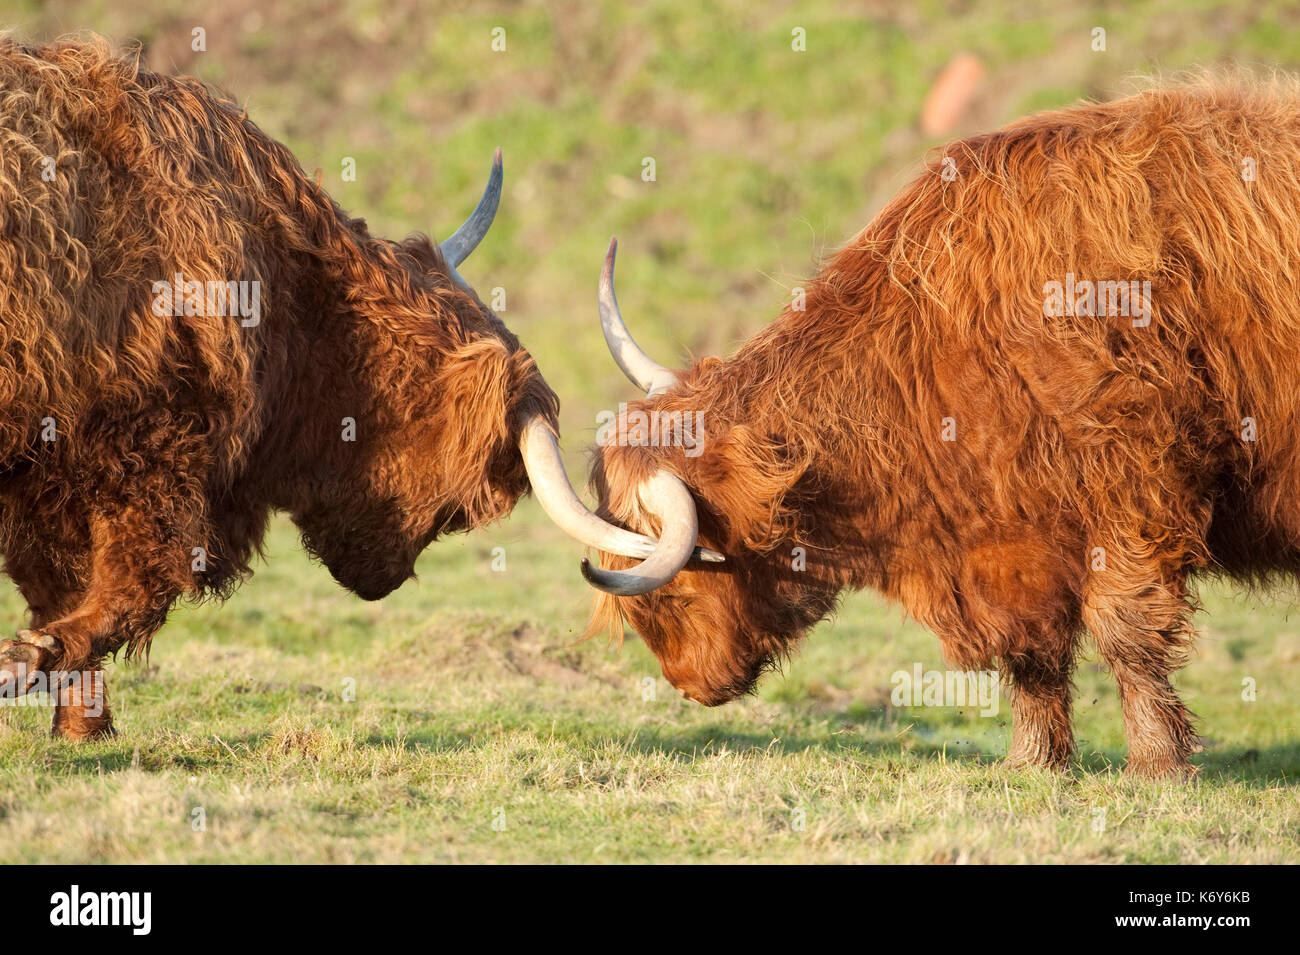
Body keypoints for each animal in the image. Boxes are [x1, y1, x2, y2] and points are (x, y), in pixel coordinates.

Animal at [0, 37, 660, 738]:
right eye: (460, 507)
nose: (389, 581)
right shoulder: (148, 447)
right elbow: (128, 583)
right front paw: (36, 671)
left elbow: (68, 586)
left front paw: (75, 721)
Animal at [538, 74, 1300, 779]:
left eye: (673, 587)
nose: (688, 685)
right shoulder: (1014, 541)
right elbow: (1032, 654)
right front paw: (1033, 762)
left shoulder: (1134, 492)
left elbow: (1127, 632)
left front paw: (1157, 765)